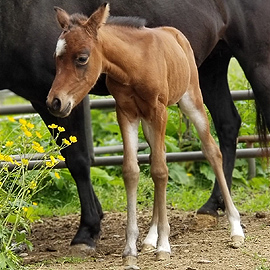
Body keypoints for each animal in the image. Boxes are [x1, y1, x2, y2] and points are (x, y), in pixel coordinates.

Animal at [1, 1, 270, 251]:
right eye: (56, 58)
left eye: (82, 58)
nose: (54, 101)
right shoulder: (125, 112)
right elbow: (134, 169)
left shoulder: (66, 100)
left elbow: (79, 160)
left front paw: (87, 232)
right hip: (212, 65)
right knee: (227, 124)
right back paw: (209, 208)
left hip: (239, 71)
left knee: (214, 146)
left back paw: (232, 224)